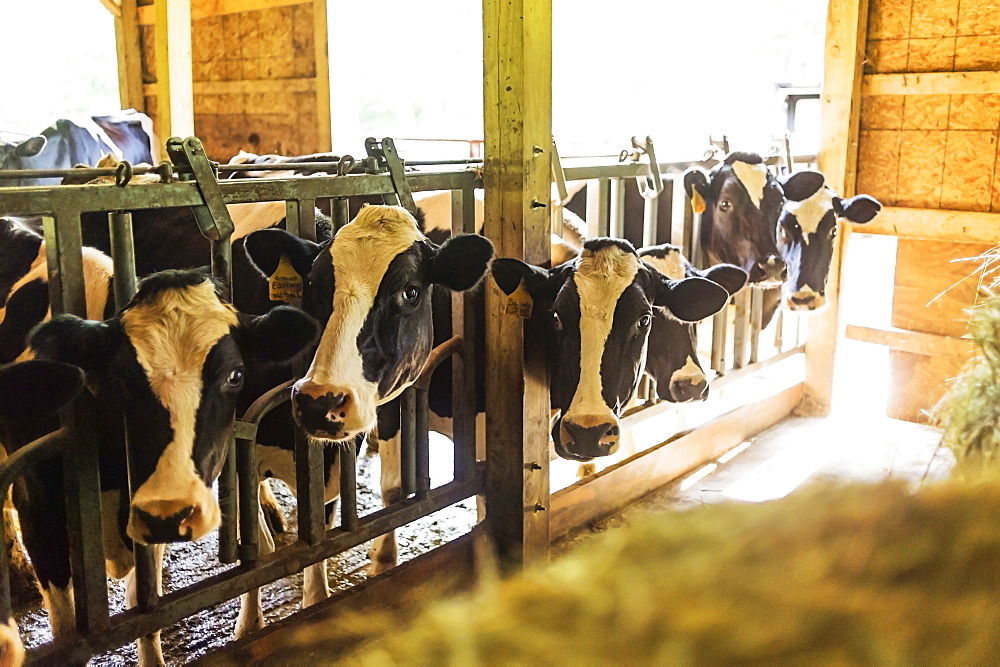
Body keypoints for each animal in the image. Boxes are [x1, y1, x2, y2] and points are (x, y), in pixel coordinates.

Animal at [0, 272, 316, 667]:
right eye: (122, 379)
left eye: (236, 375)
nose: (171, 512)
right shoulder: (39, 515)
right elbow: (67, 634)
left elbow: (144, 607)